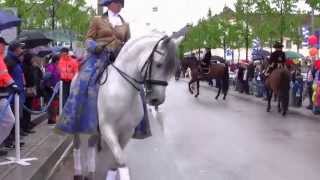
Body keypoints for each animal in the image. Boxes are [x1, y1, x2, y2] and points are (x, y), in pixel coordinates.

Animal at [72, 32, 182, 180]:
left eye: (173, 68)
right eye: (159, 64)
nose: (157, 99)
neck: (123, 90)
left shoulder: (127, 131)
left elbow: (115, 161)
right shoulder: (107, 128)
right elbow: (121, 160)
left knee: (91, 143)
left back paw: (90, 172)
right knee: (78, 144)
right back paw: (78, 172)